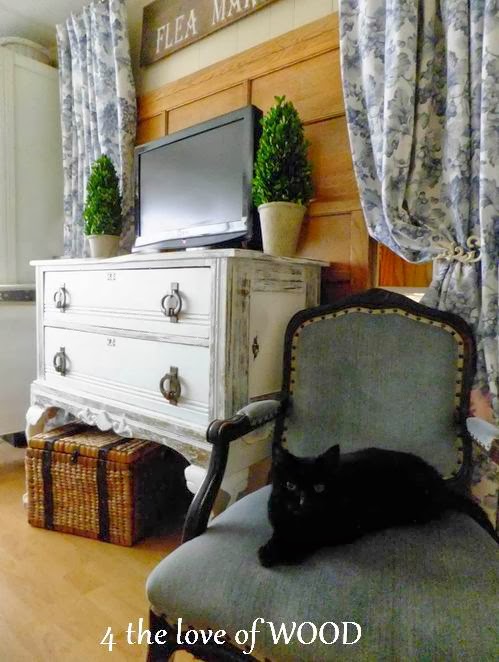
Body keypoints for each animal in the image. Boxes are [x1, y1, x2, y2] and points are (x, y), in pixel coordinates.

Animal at [258, 444, 497, 567]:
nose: (303, 501)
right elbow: (280, 530)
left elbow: (312, 537)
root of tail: (441, 482)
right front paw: (270, 548)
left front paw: (283, 552)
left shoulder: (345, 528)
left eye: (319, 487)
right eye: (290, 485)